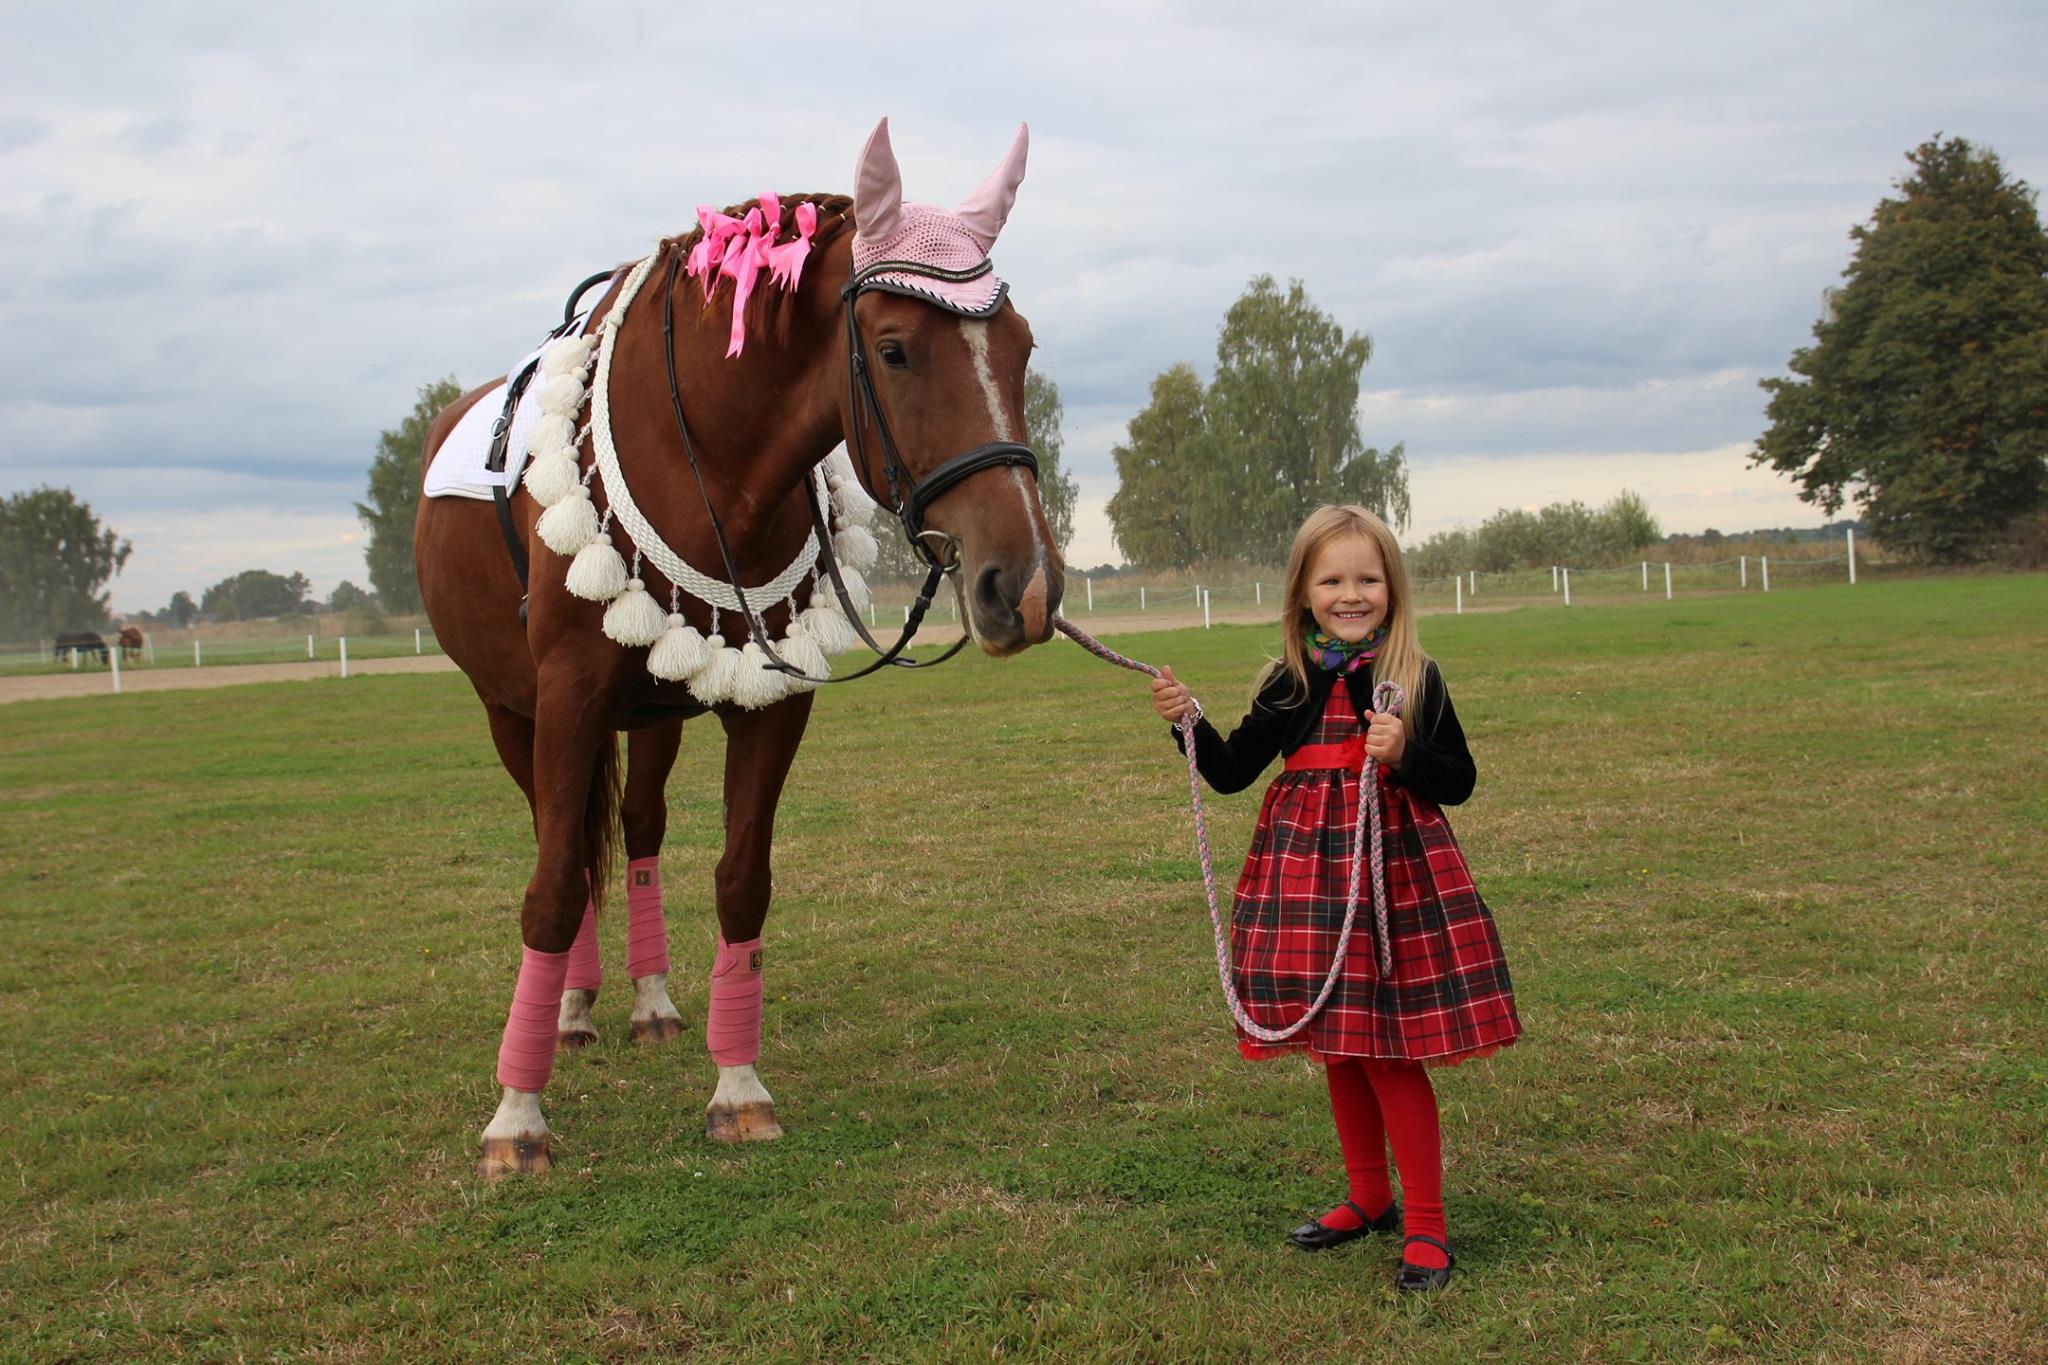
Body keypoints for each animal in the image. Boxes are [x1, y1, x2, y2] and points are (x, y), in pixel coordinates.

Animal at [415, 119, 1062, 1178]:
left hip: (654, 714)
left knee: (634, 830)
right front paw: (517, 1117)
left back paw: (644, 1000)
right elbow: (549, 887)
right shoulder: (567, 698)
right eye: (894, 349)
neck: (707, 458)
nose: (1027, 585)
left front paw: (738, 1087)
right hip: (511, 710)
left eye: (1020, 347)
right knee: (567, 847)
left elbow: (741, 881)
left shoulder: (771, 698)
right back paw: (570, 1012)